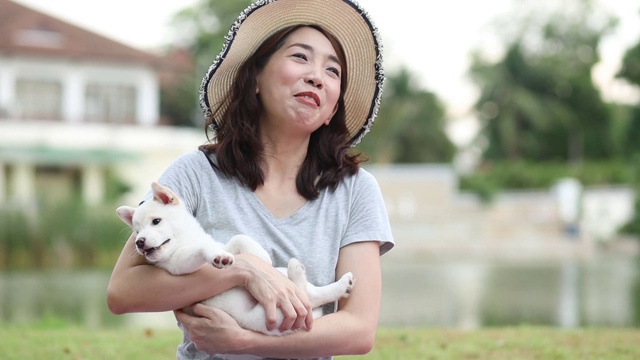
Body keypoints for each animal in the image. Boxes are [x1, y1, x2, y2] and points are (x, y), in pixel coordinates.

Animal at [115, 181, 356, 336]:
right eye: (136, 231)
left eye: (156, 221)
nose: (139, 242)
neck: (185, 240)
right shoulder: (178, 266)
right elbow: (203, 250)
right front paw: (217, 257)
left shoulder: (227, 244)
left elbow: (239, 239)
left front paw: (259, 256)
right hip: (270, 315)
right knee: (306, 294)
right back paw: (301, 271)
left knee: (310, 293)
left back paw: (340, 283)